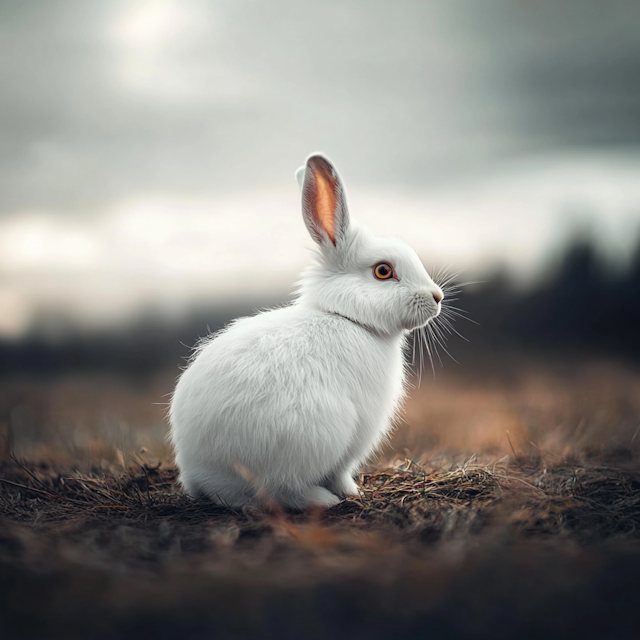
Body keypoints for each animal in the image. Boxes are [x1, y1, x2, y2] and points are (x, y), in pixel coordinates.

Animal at [168, 155, 442, 510]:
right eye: (384, 271)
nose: (437, 297)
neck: (347, 316)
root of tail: (205, 475)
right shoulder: (358, 433)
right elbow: (341, 472)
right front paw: (352, 492)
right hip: (317, 435)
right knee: (282, 490)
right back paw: (323, 499)